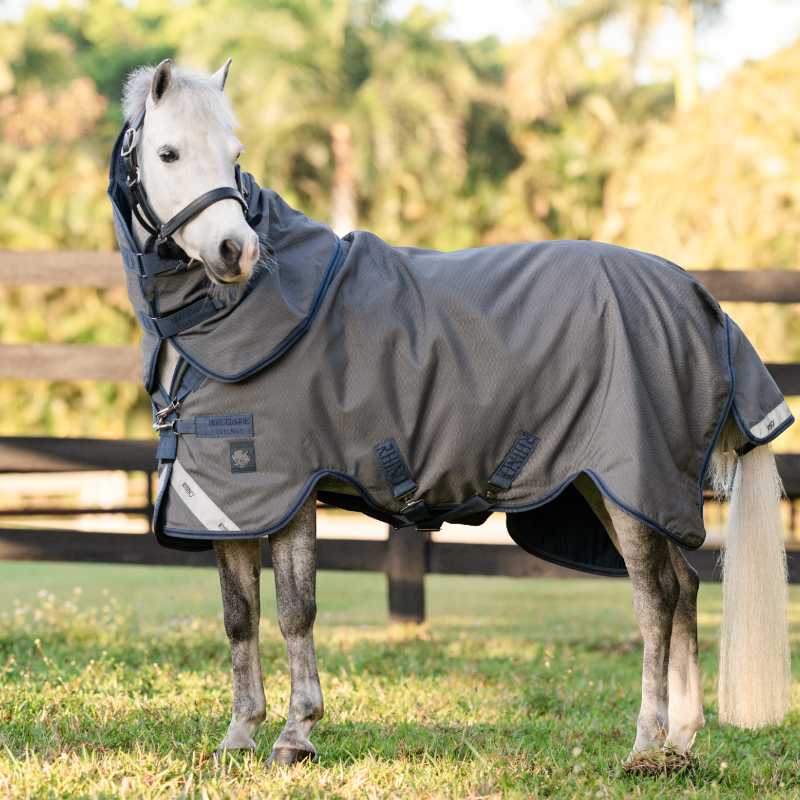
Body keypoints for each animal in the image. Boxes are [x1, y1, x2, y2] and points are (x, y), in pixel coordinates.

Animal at [109, 58, 792, 767]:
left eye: (234, 155)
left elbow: (297, 611)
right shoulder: (227, 500)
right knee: (682, 587)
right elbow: (239, 617)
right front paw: (240, 735)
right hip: (614, 488)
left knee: (654, 599)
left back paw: (644, 743)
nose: (235, 251)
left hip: (631, 483)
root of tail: (701, 300)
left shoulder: (287, 492)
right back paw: (679, 743)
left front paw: (296, 735)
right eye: (168, 152)